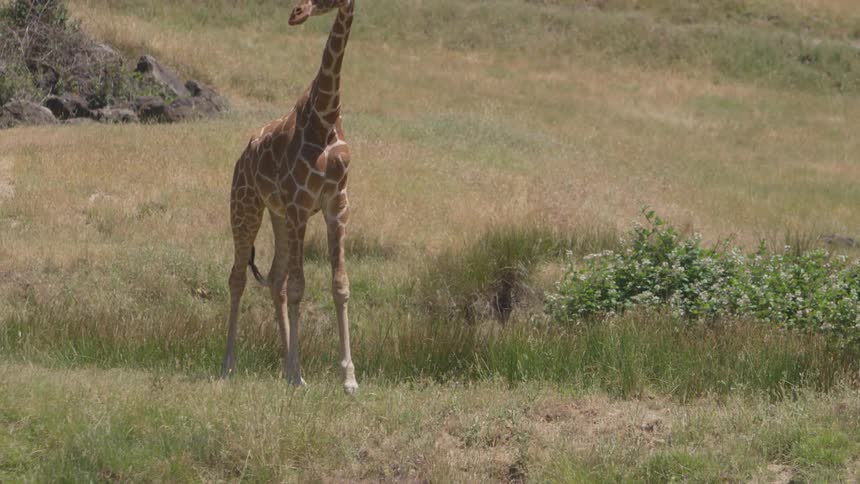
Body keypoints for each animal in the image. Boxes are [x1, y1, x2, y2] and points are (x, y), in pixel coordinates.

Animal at [221, 0, 358, 394]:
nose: (296, 12)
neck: (326, 120)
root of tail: (243, 156)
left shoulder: (336, 204)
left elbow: (339, 285)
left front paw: (348, 378)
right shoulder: (300, 204)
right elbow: (300, 287)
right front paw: (298, 374)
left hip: (278, 215)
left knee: (275, 280)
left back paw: (286, 367)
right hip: (245, 206)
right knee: (238, 277)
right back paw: (228, 366)